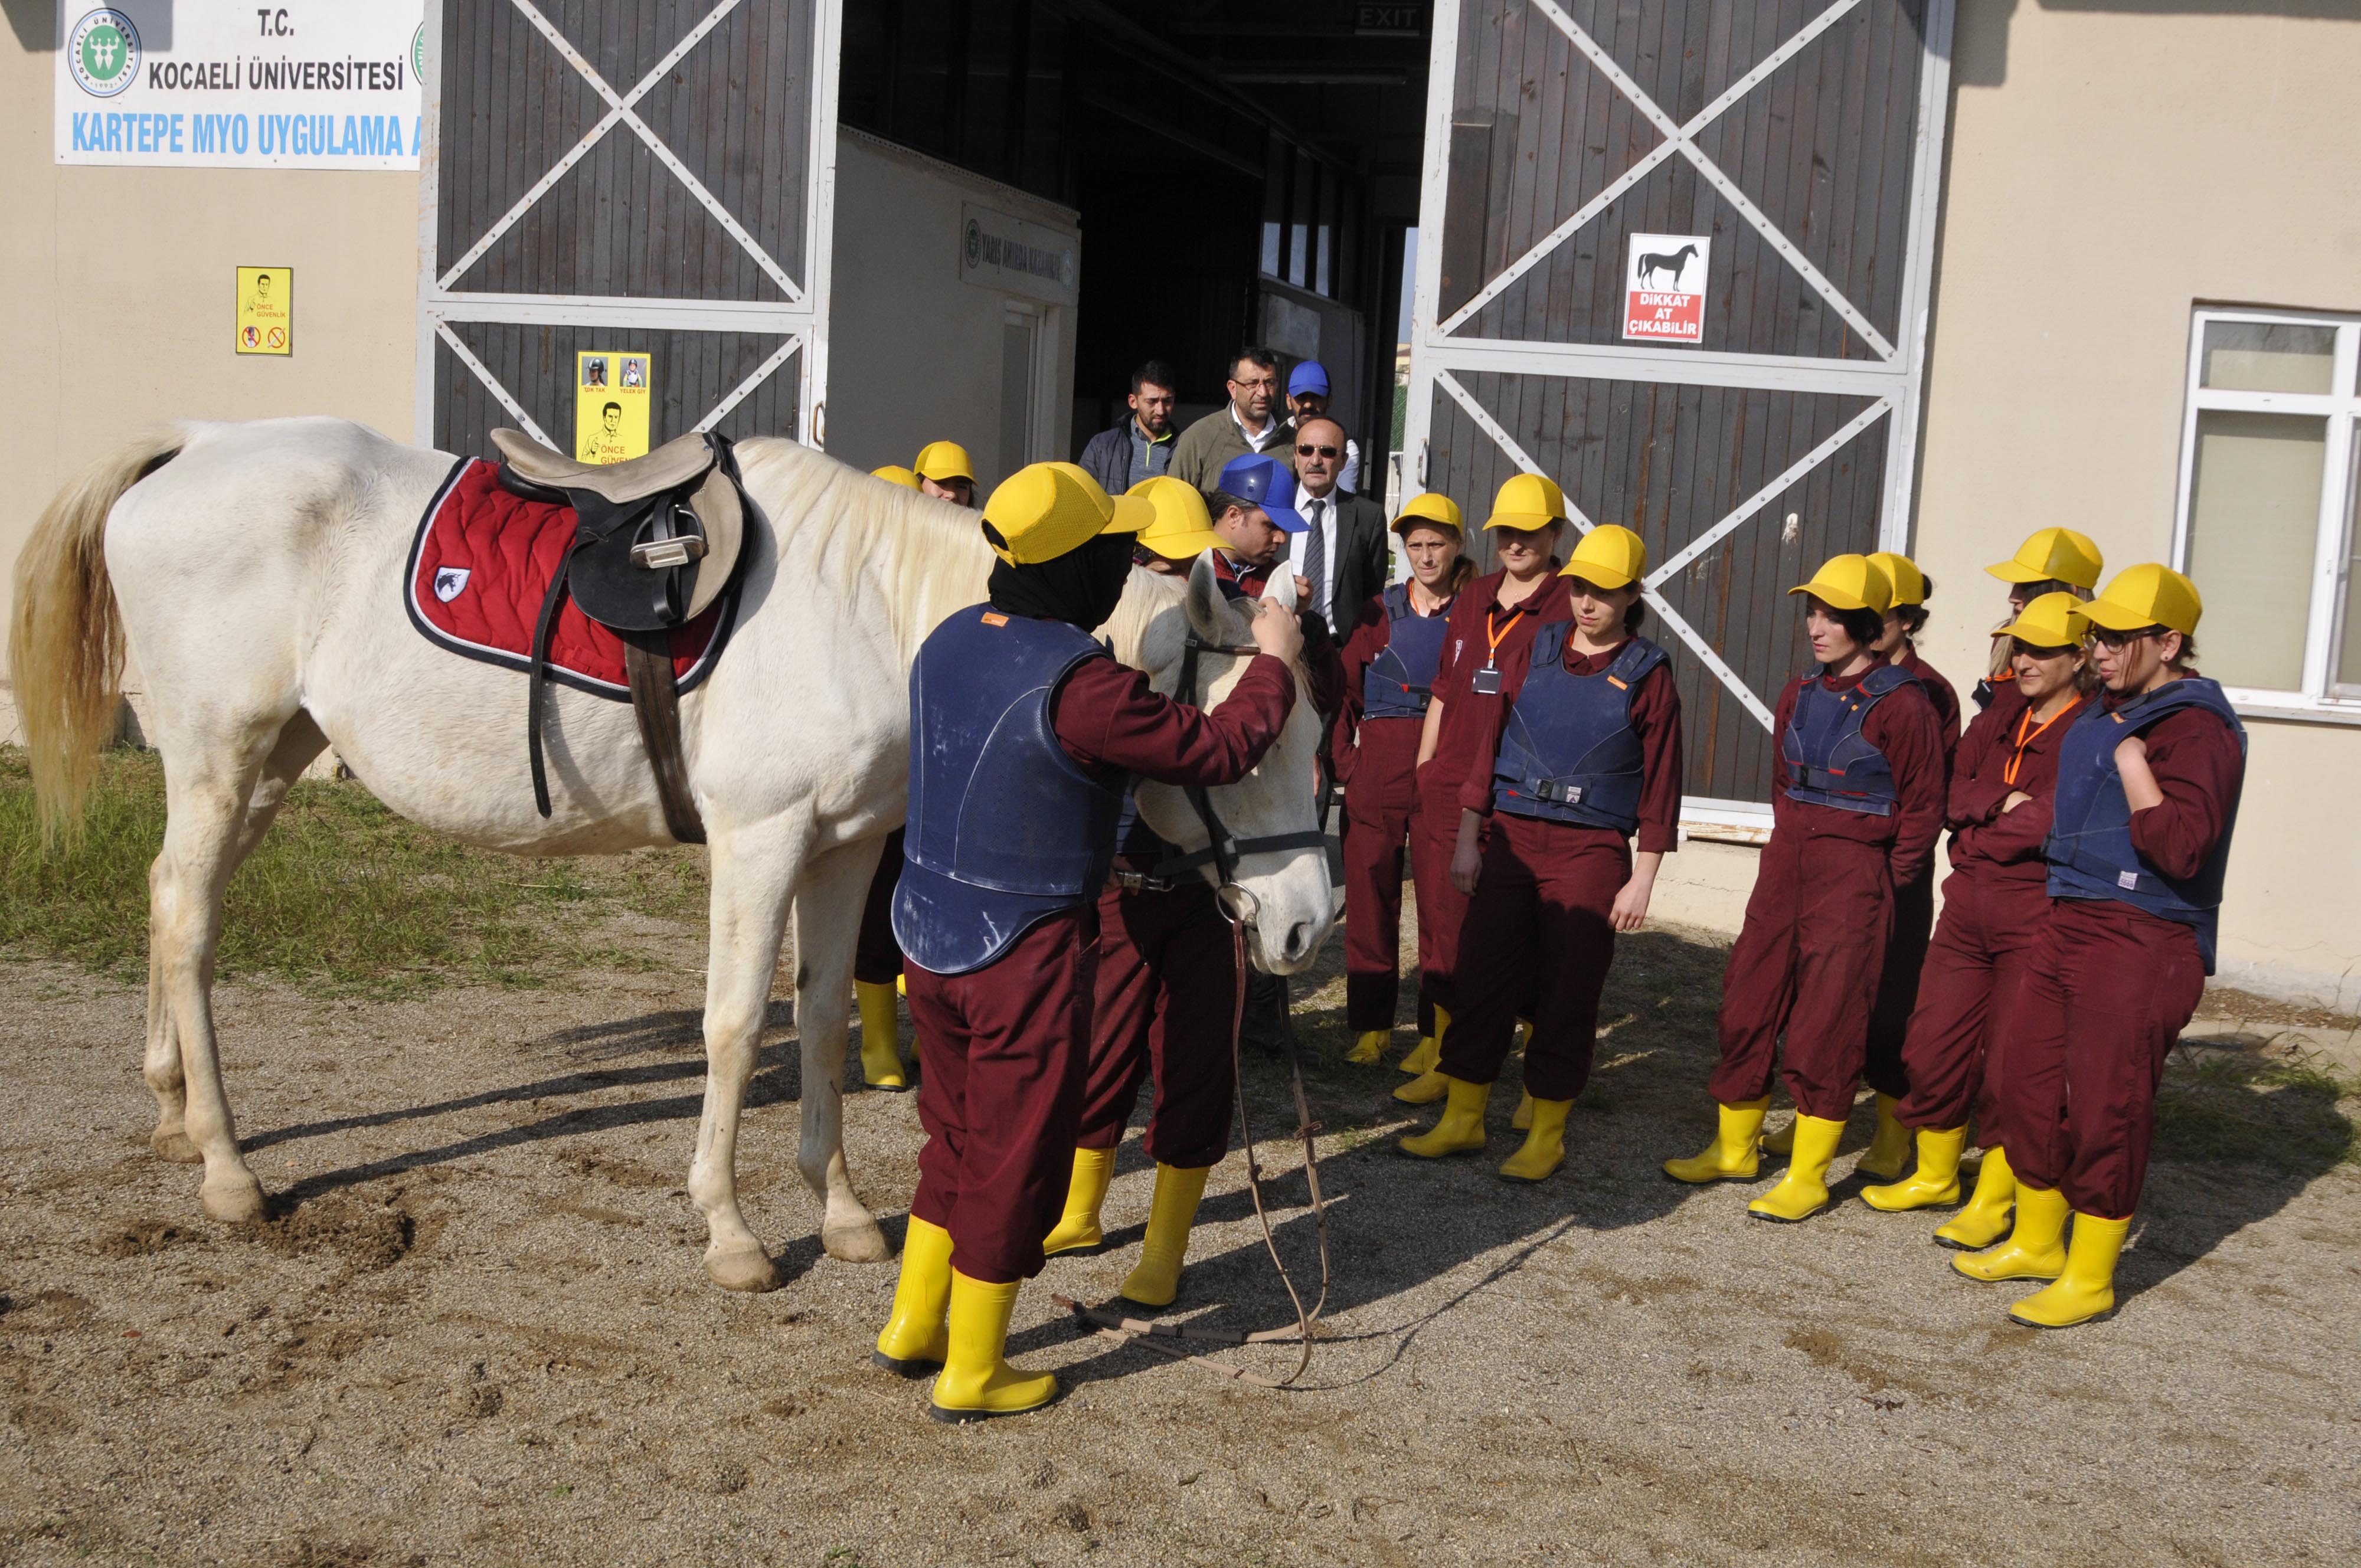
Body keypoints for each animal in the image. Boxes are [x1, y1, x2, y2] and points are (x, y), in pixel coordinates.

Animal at [9, 415, 1332, 1284]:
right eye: (1248, 741)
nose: (1308, 923)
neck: (876, 610)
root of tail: (191, 447)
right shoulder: (760, 840)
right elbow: (736, 1024)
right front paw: (733, 1230)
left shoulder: (844, 849)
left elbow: (824, 1019)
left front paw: (842, 1213)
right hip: (219, 753)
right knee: (187, 917)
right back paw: (226, 1166)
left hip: (267, 760)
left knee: (176, 902)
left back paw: (175, 1108)